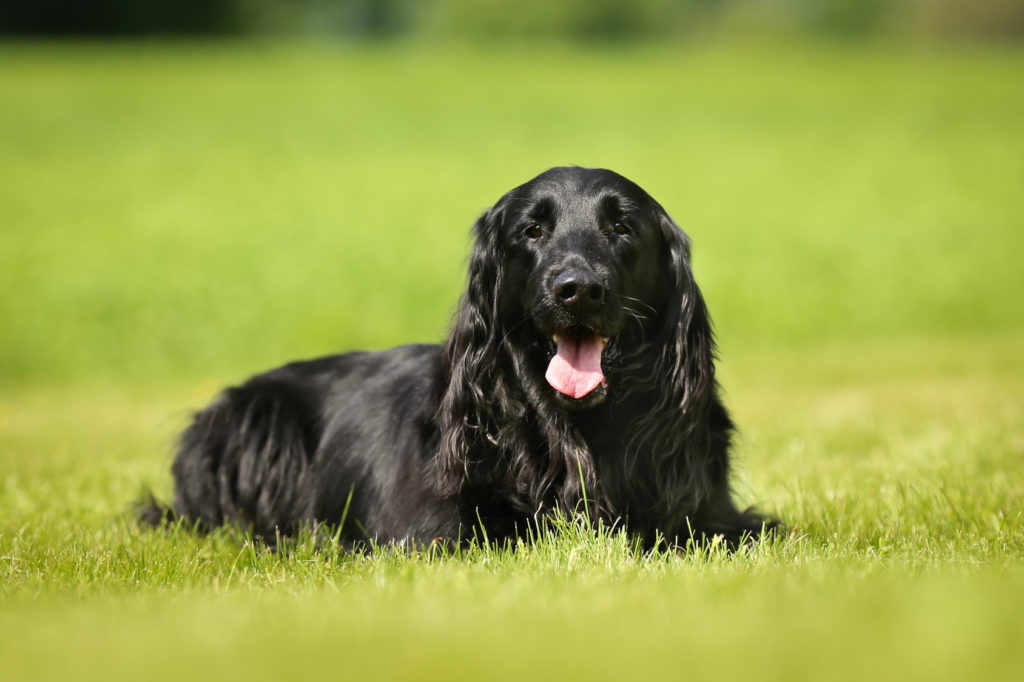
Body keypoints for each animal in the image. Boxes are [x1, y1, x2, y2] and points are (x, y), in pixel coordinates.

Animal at [140, 168, 770, 548]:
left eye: (621, 226)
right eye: (533, 230)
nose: (578, 290)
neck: (572, 430)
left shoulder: (713, 515)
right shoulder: (431, 532)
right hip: (259, 419)